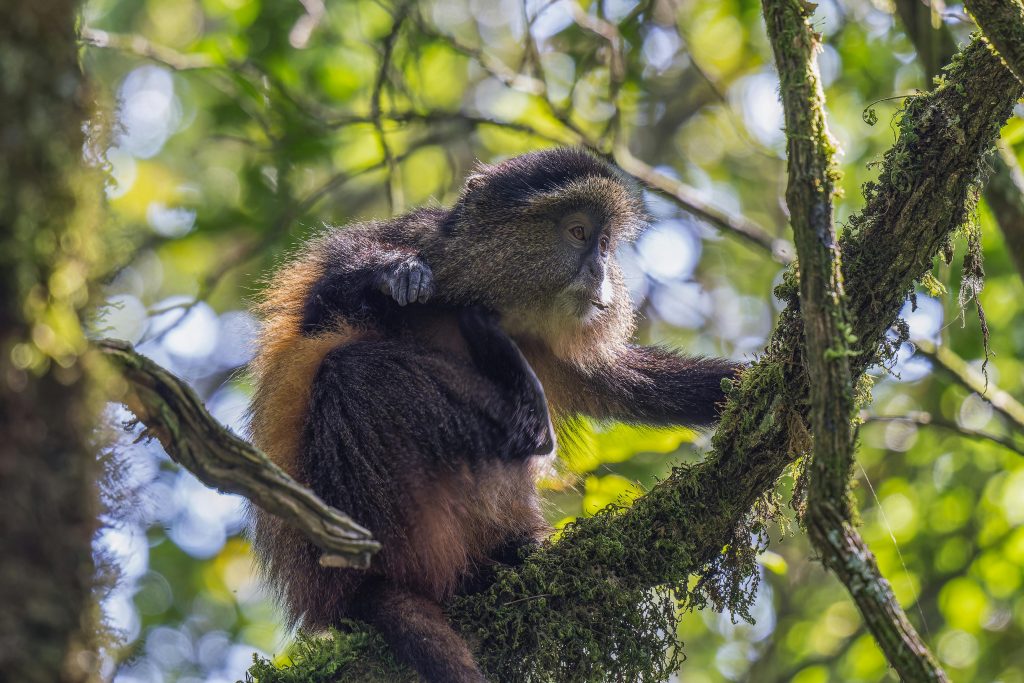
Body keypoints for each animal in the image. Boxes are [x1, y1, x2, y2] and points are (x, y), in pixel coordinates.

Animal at [248, 147, 744, 682]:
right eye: (577, 233)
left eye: (606, 244)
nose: (601, 271)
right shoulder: (418, 242)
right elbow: (320, 310)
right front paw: (390, 273)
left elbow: (629, 384)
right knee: (348, 369)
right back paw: (525, 425)